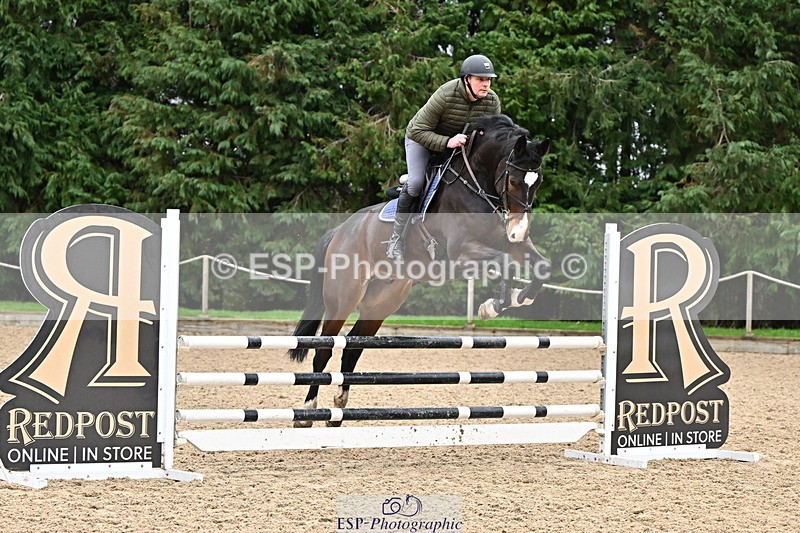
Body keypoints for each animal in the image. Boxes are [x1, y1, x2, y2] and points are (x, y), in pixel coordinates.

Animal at [287, 114, 551, 426]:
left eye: (538, 181)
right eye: (512, 179)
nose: (518, 230)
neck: (477, 186)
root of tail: (340, 230)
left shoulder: (509, 245)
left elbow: (541, 267)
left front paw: (515, 299)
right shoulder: (463, 252)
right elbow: (506, 264)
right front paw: (494, 305)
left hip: (380, 304)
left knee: (352, 347)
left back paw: (338, 410)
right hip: (342, 299)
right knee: (324, 349)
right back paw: (308, 411)